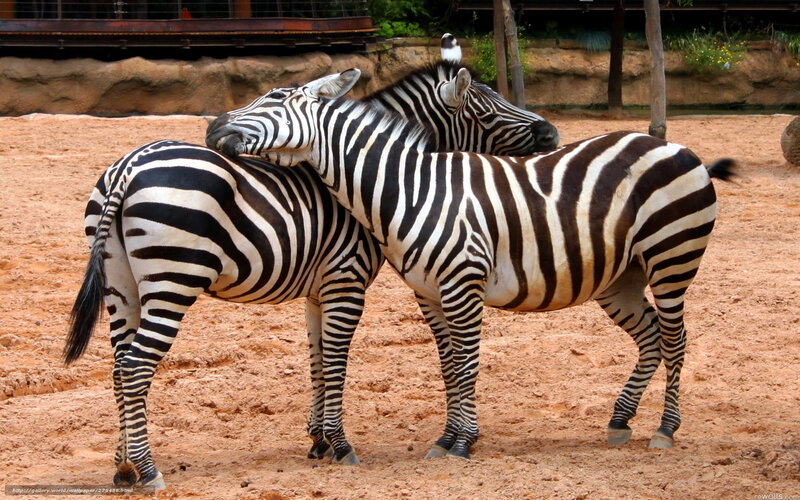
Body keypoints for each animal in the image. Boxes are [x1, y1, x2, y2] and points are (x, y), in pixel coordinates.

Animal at [63, 36, 558, 489]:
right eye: (488, 111)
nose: (552, 135)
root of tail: (130, 163)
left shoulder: (317, 291)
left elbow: (317, 358)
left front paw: (318, 441)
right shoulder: (346, 280)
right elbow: (337, 360)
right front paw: (340, 445)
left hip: (121, 283)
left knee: (118, 365)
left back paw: (123, 467)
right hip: (173, 280)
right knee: (135, 366)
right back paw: (148, 471)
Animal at [206, 69, 736, 460]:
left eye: (275, 100)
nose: (212, 129)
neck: (409, 190)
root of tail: (672, 145)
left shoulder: (463, 284)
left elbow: (466, 363)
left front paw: (462, 441)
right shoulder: (429, 291)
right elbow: (448, 364)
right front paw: (447, 438)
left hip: (672, 257)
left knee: (676, 338)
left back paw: (665, 429)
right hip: (620, 277)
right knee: (651, 336)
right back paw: (621, 420)